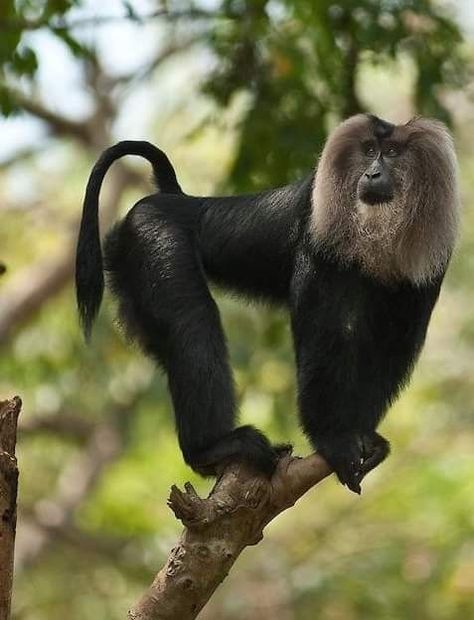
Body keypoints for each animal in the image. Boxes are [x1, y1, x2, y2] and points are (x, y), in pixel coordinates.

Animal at [75, 115, 460, 494]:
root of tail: (179, 200)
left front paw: (361, 435)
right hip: (152, 236)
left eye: (391, 153)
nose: (373, 174)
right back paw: (211, 447)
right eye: (368, 151)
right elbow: (320, 331)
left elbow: (391, 344)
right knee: (190, 321)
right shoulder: (316, 233)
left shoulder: (428, 267)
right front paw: (333, 440)